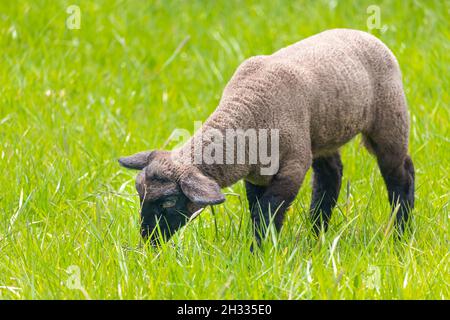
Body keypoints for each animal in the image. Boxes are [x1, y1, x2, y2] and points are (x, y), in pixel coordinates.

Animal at [118, 28, 414, 246]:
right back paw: (315, 235)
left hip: (389, 117)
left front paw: (258, 252)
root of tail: (365, 34)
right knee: (331, 176)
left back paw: (402, 234)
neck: (247, 112)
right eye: (140, 195)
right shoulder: (257, 175)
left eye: (169, 201)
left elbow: (267, 213)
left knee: (400, 173)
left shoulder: (292, 167)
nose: (149, 241)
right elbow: (256, 211)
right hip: (322, 134)